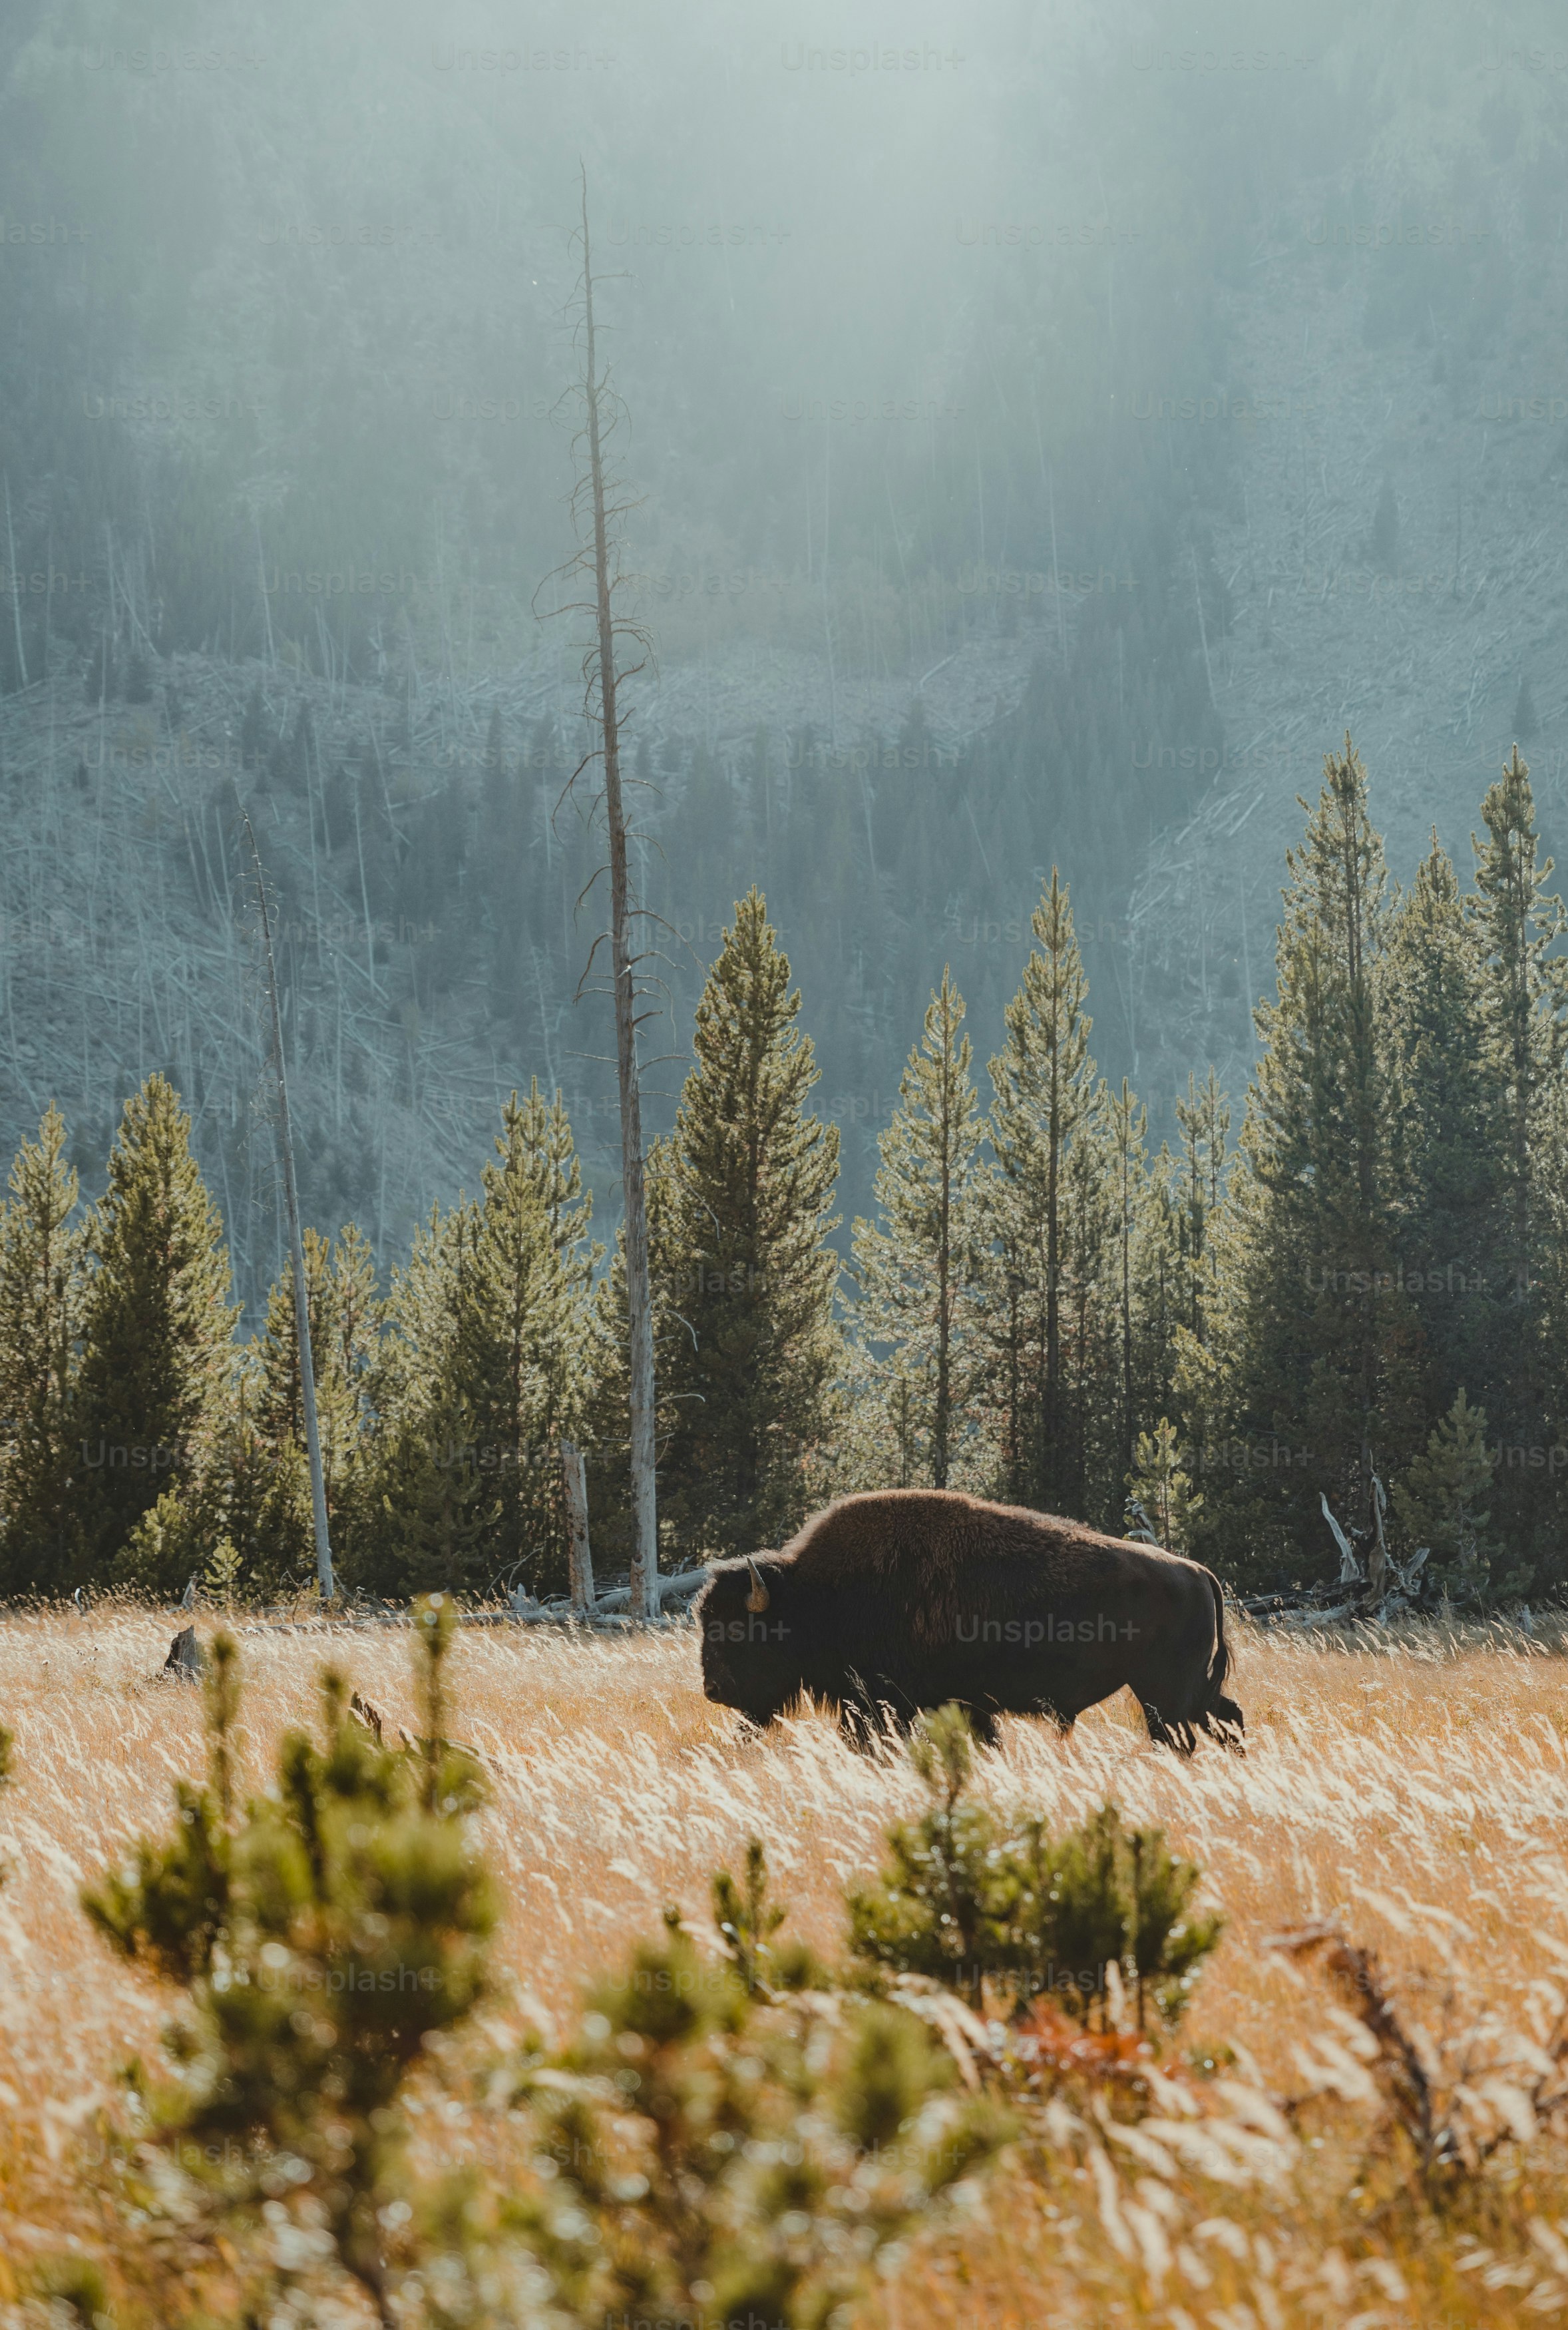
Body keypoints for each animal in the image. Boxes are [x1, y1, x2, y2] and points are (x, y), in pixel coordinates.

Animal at [696, 1487, 1243, 1752]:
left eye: (739, 1629)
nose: (713, 1690)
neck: (816, 1597)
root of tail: (1199, 1572)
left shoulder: (883, 1703)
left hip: (1163, 1694)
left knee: (1184, 1734)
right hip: (1186, 1693)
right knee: (1227, 1717)